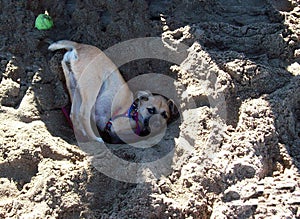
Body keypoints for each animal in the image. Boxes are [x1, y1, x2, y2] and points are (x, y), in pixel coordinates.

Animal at [48, 40, 177, 144]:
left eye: (165, 115)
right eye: (151, 110)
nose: (157, 124)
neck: (133, 112)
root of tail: (79, 46)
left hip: (75, 87)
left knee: (73, 115)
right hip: (91, 87)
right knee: (83, 114)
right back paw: (95, 139)